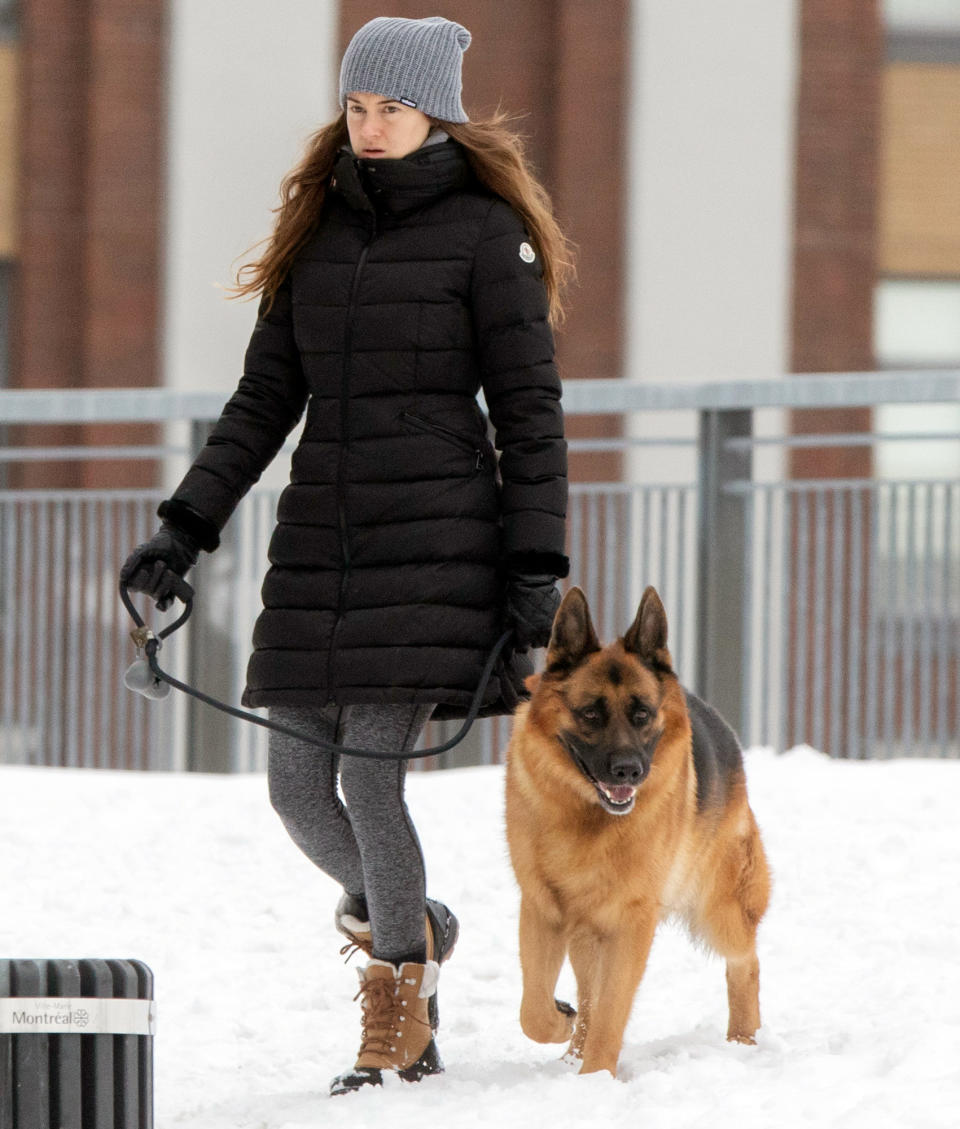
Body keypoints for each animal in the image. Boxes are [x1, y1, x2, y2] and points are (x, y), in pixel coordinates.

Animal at [505, 587, 768, 1070]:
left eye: (642, 714)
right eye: (590, 714)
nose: (628, 771)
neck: (588, 818)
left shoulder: (630, 923)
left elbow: (611, 1010)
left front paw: (595, 1076)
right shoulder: (542, 910)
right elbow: (535, 1010)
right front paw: (564, 1029)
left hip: (719, 907)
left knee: (746, 963)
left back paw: (743, 1041)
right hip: (588, 932)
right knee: (586, 994)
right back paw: (571, 1053)